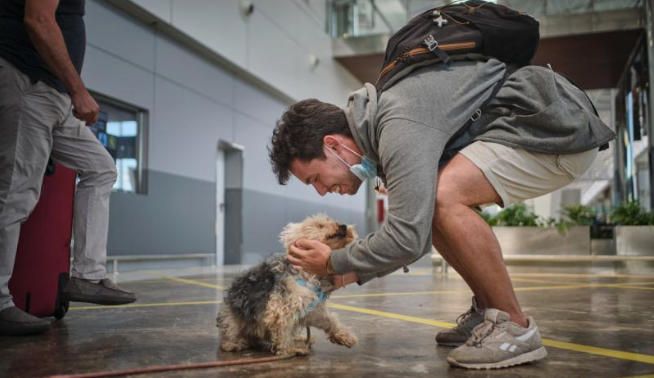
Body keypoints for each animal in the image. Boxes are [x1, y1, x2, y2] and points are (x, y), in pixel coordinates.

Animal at [217, 214, 358, 356]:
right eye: (320, 225)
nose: (344, 226)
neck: (310, 275)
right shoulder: (281, 308)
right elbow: (284, 332)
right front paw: (290, 349)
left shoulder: (313, 309)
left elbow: (329, 320)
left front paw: (344, 335)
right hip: (233, 320)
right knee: (230, 337)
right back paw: (235, 343)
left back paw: (300, 339)